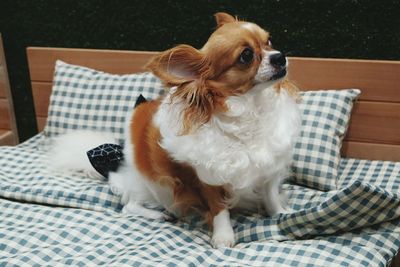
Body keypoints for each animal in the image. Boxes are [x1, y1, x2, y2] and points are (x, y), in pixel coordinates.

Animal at [51, 11, 300, 248]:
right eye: (246, 56)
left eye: (269, 41)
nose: (280, 56)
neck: (251, 110)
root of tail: (119, 163)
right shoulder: (208, 180)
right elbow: (219, 210)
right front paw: (223, 236)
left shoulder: (268, 170)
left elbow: (270, 196)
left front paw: (282, 215)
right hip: (149, 186)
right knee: (129, 206)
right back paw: (157, 214)